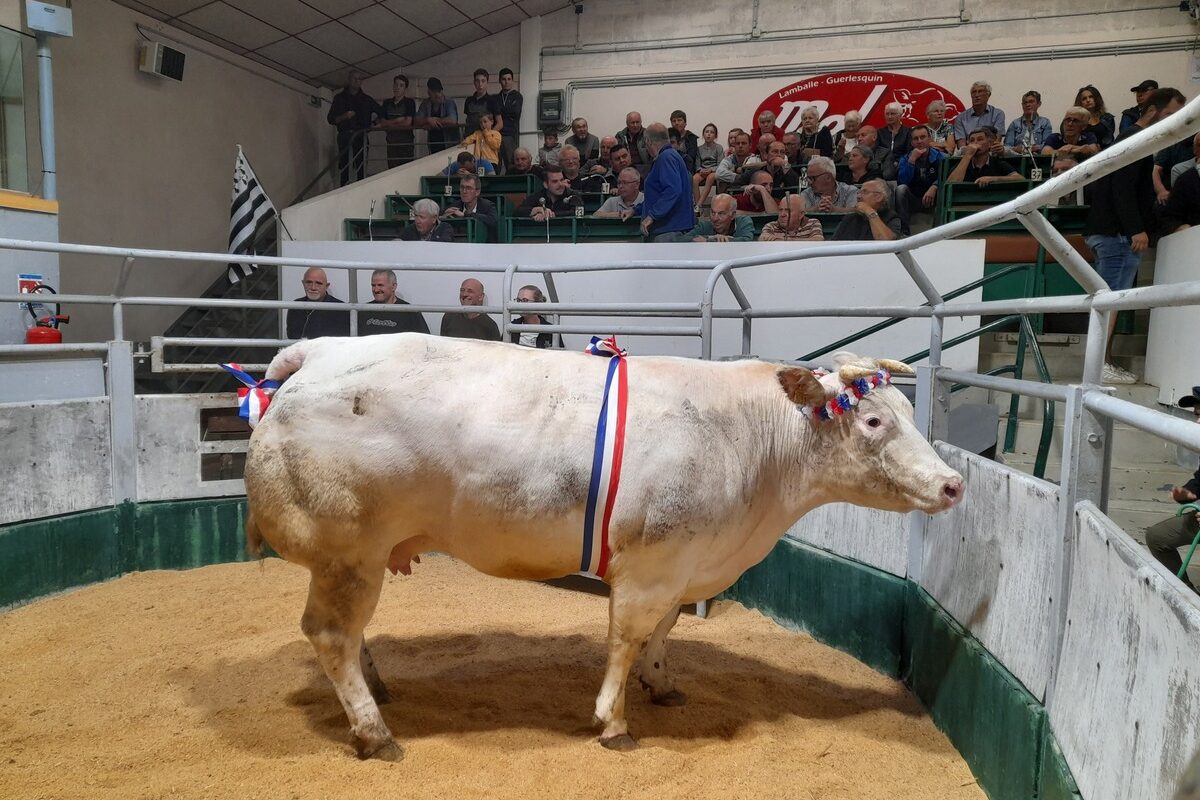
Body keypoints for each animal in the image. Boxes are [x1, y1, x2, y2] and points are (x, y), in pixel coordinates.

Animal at [243, 334, 964, 761]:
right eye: (873, 420)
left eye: (910, 413)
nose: (954, 483)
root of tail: (318, 351)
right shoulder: (650, 564)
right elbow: (625, 636)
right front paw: (613, 722)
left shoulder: (682, 563)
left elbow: (663, 633)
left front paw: (662, 685)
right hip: (347, 548)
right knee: (331, 633)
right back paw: (374, 732)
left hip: (356, 556)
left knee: (349, 634)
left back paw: (377, 689)